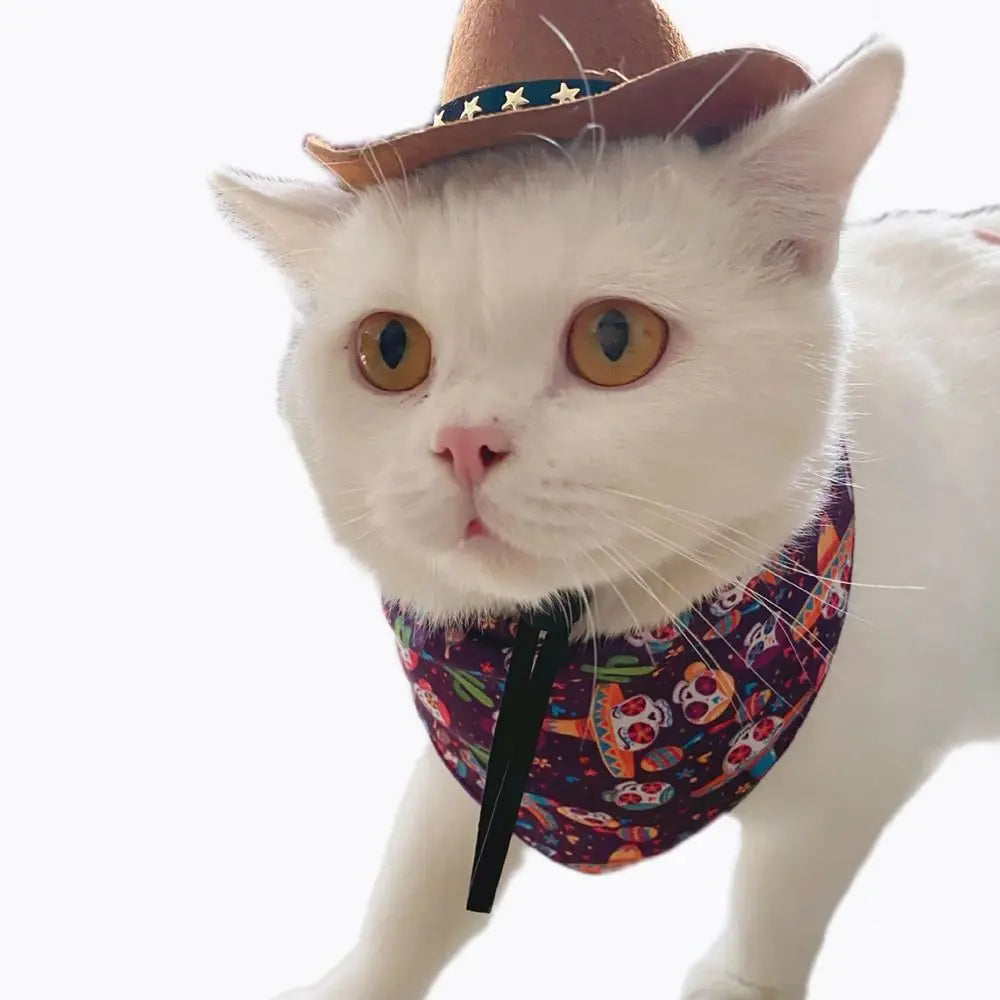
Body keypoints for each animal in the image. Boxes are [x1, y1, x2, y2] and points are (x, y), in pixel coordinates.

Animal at [211, 43, 1000, 1000]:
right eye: (390, 349)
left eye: (615, 337)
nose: (464, 442)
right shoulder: (471, 758)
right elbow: (416, 883)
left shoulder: (853, 789)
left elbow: (778, 905)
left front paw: (739, 980)